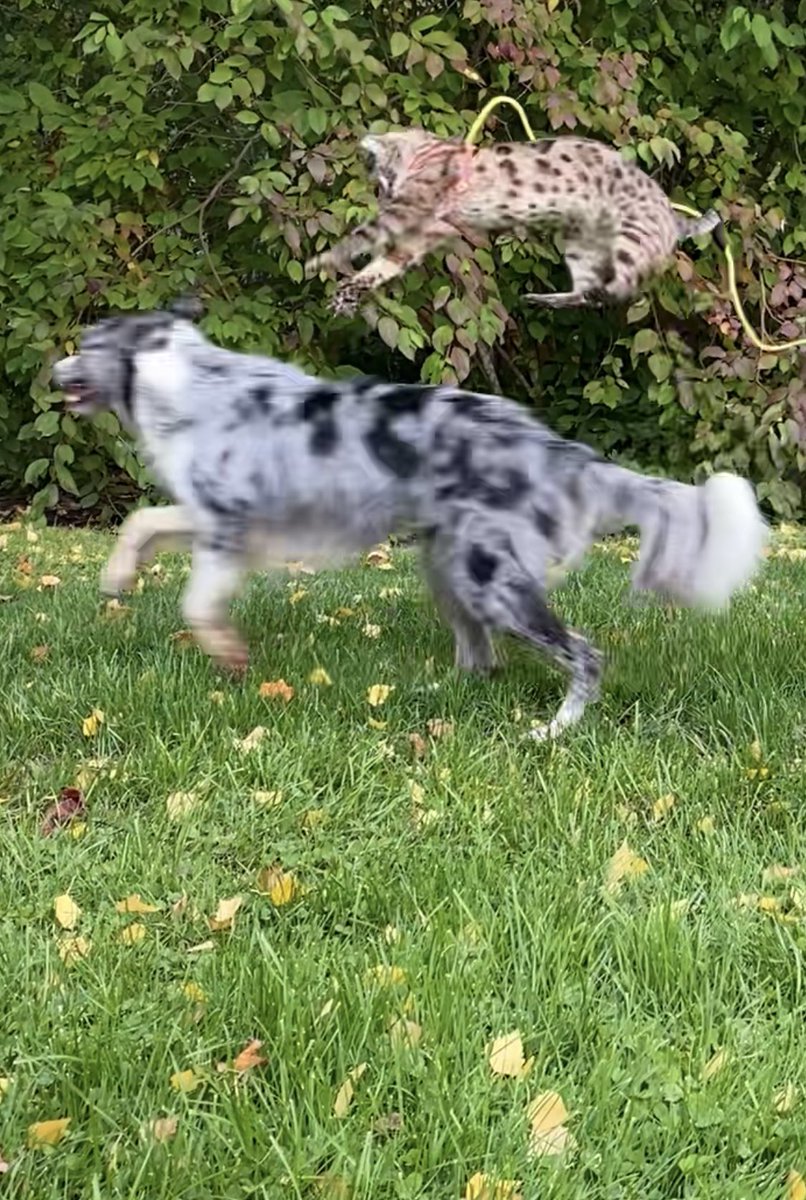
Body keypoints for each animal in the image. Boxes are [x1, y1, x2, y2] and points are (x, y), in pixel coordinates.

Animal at [304, 127, 721, 317]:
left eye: (380, 180)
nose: (383, 195)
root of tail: (670, 211)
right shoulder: (426, 232)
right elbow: (381, 266)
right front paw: (348, 291)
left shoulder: (410, 214)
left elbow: (359, 238)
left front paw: (323, 262)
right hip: (579, 243)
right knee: (584, 292)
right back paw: (546, 298)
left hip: (630, 239)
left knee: (622, 286)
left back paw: (603, 291)